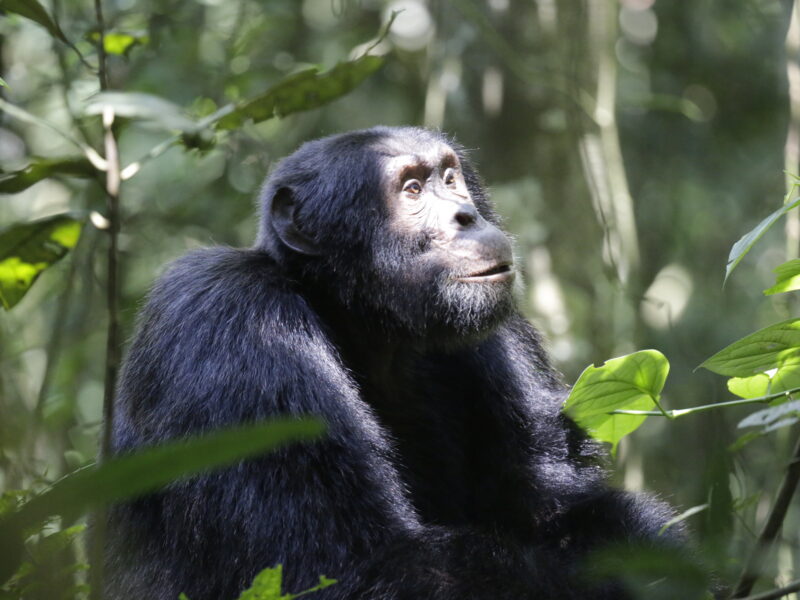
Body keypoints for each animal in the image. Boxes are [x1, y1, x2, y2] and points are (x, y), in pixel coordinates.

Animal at [103, 126, 684, 600]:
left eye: (450, 177)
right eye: (412, 190)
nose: (466, 215)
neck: (359, 320)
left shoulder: (499, 337)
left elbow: (557, 503)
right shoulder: (236, 324)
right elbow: (352, 565)